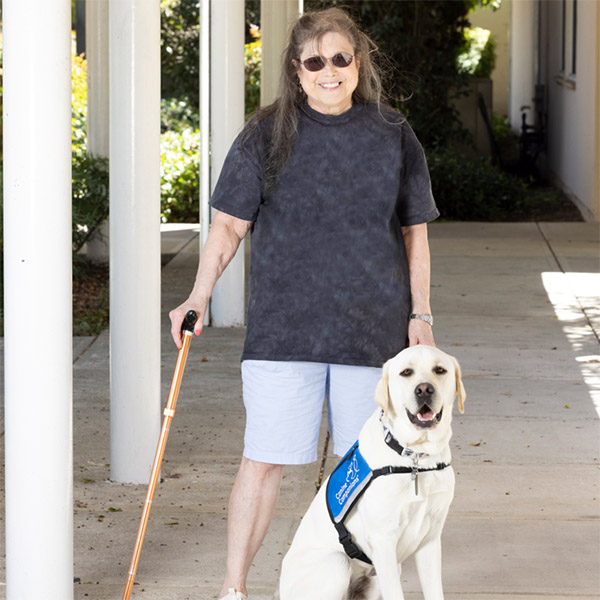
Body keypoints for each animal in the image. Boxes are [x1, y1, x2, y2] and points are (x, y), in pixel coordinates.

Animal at [278, 344, 466, 600]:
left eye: (440, 370)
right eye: (406, 372)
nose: (424, 389)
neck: (415, 459)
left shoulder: (430, 539)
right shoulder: (383, 540)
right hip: (337, 563)